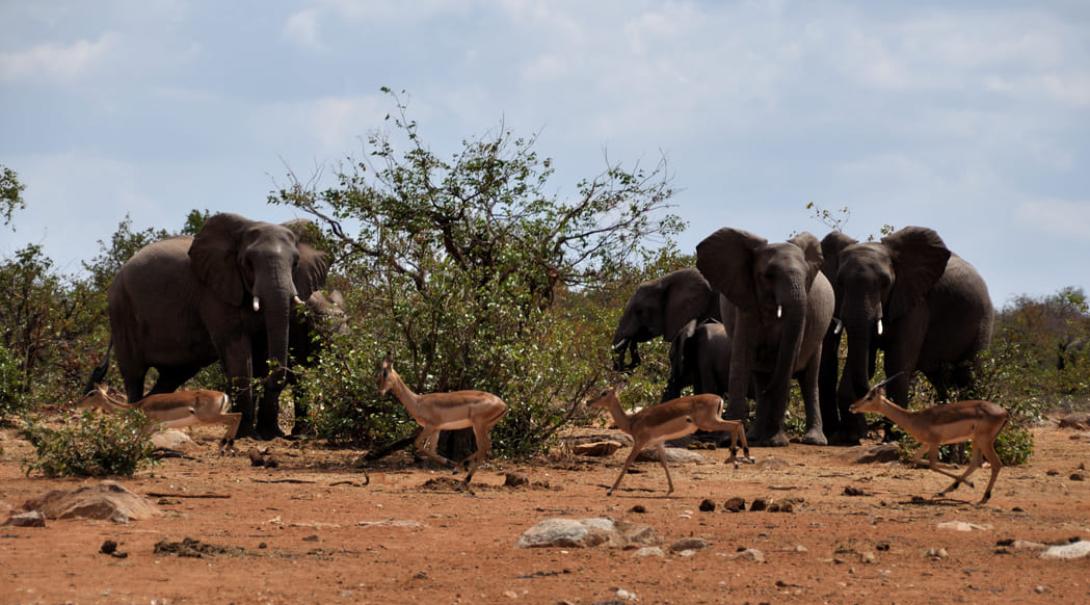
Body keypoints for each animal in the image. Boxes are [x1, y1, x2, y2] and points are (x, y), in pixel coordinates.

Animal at [97, 214, 327, 440]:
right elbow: (237, 350)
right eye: (248, 263)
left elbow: (262, 351)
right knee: (134, 374)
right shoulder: (213, 293)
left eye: (295, 263)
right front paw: (248, 435)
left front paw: (269, 434)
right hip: (121, 311)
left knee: (172, 376)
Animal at [697, 226, 832, 444]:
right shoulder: (745, 302)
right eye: (768, 276)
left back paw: (813, 440)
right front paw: (728, 440)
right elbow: (742, 359)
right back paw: (755, 436)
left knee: (809, 380)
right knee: (759, 378)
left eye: (806, 278)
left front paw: (776, 442)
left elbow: (786, 361)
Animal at [819, 226, 994, 444]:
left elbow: (896, 362)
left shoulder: (915, 304)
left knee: (970, 375)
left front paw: (893, 438)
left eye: (885, 283)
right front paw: (850, 437)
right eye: (840, 282)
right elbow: (865, 360)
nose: (866, 431)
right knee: (941, 380)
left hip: (982, 321)